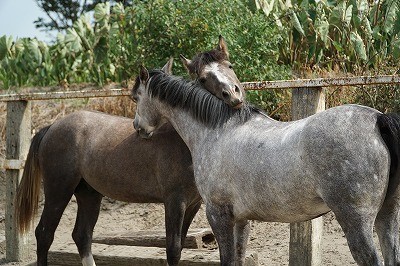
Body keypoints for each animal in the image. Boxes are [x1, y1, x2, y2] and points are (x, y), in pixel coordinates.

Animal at [14, 37, 242, 266]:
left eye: (230, 66)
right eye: (203, 78)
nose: (233, 95)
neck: (185, 141)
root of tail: (52, 127)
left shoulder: (192, 204)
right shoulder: (175, 202)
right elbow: (173, 250)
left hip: (89, 193)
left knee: (82, 235)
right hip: (58, 191)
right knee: (44, 234)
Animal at [133, 67, 400, 264]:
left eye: (136, 97)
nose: (138, 128)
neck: (216, 132)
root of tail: (378, 119)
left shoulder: (217, 214)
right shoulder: (240, 220)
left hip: (356, 221)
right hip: (387, 215)